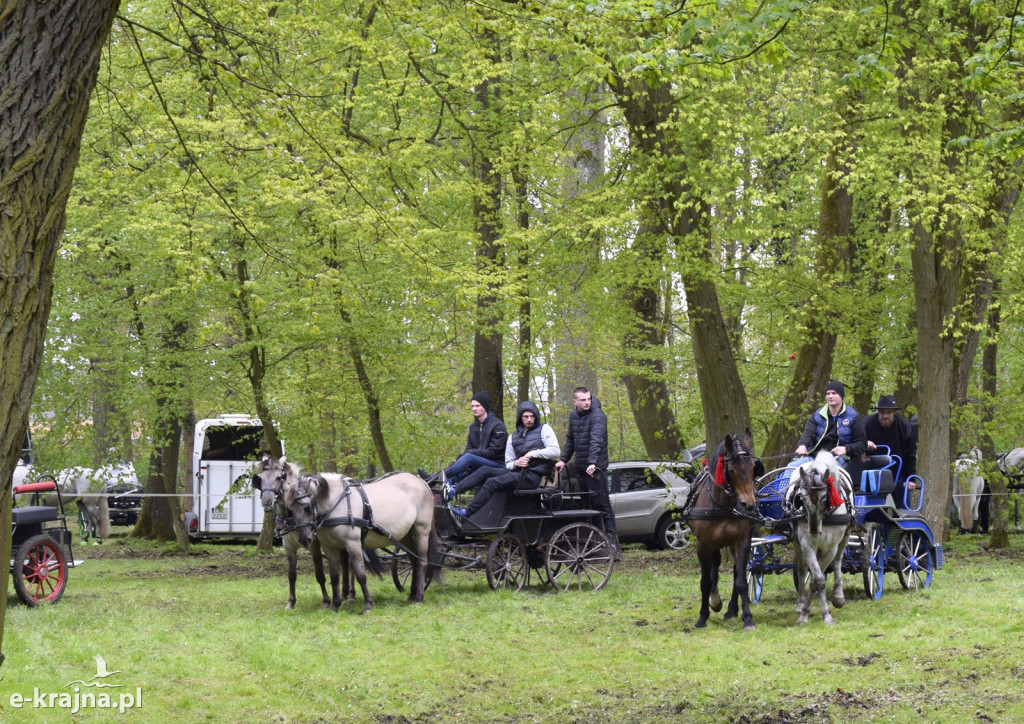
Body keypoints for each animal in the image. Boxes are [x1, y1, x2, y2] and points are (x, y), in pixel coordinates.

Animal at [684, 434, 765, 630]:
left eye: (753, 468)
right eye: (732, 470)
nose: (749, 505)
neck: (722, 505)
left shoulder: (742, 542)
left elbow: (741, 581)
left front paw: (748, 618)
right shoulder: (703, 545)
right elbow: (705, 582)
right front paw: (703, 616)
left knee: (736, 572)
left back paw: (732, 610)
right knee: (715, 567)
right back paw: (715, 600)